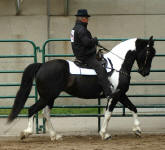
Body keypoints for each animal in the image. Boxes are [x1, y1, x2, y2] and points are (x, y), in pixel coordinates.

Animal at [7, 36, 156, 141]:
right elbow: (108, 114)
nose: (145, 72)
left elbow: (133, 107)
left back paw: (55, 136)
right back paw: (26, 133)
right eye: (149, 52)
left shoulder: (121, 94)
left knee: (45, 113)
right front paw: (104, 134)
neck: (118, 66)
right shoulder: (114, 95)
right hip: (47, 96)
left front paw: (137, 129)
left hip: (50, 97)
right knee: (32, 109)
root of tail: (42, 65)